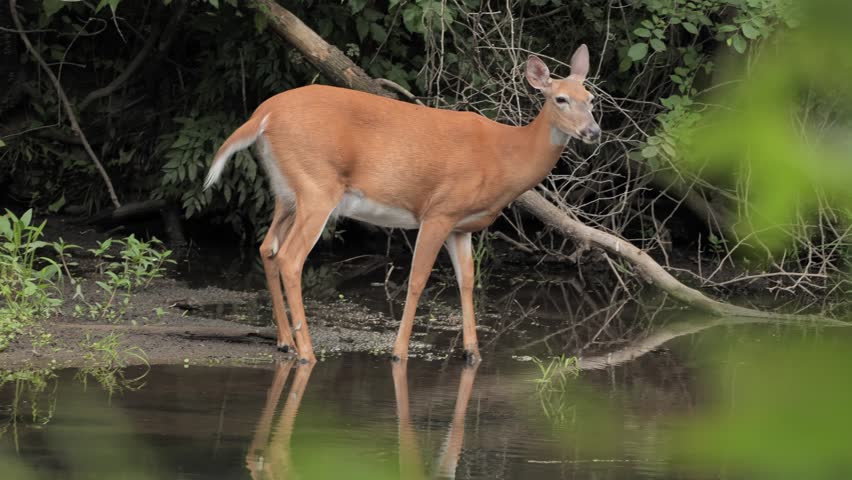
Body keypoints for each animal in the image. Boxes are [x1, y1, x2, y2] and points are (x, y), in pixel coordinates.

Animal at [203, 45, 600, 365]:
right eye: (560, 99)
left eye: (591, 98)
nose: (593, 132)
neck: (504, 157)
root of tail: (262, 116)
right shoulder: (439, 210)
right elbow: (417, 280)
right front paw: (399, 351)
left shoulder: (461, 226)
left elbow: (468, 281)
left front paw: (472, 352)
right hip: (317, 186)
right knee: (290, 257)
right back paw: (306, 352)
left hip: (287, 191)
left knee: (267, 247)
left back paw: (285, 342)